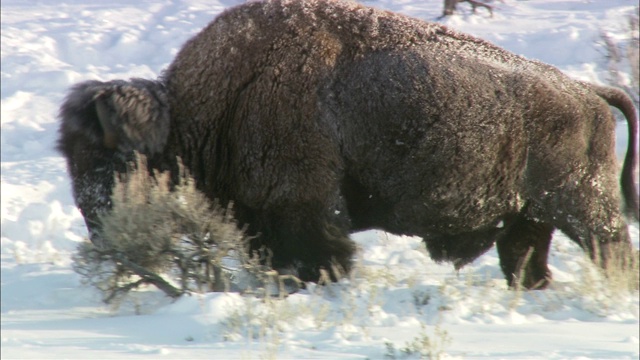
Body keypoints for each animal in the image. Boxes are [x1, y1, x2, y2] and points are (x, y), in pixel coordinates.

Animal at [57, 0, 636, 288]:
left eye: (112, 158)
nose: (99, 227)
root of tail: (589, 92)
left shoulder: (302, 206)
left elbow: (320, 251)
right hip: (530, 216)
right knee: (526, 259)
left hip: (581, 208)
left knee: (610, 247)